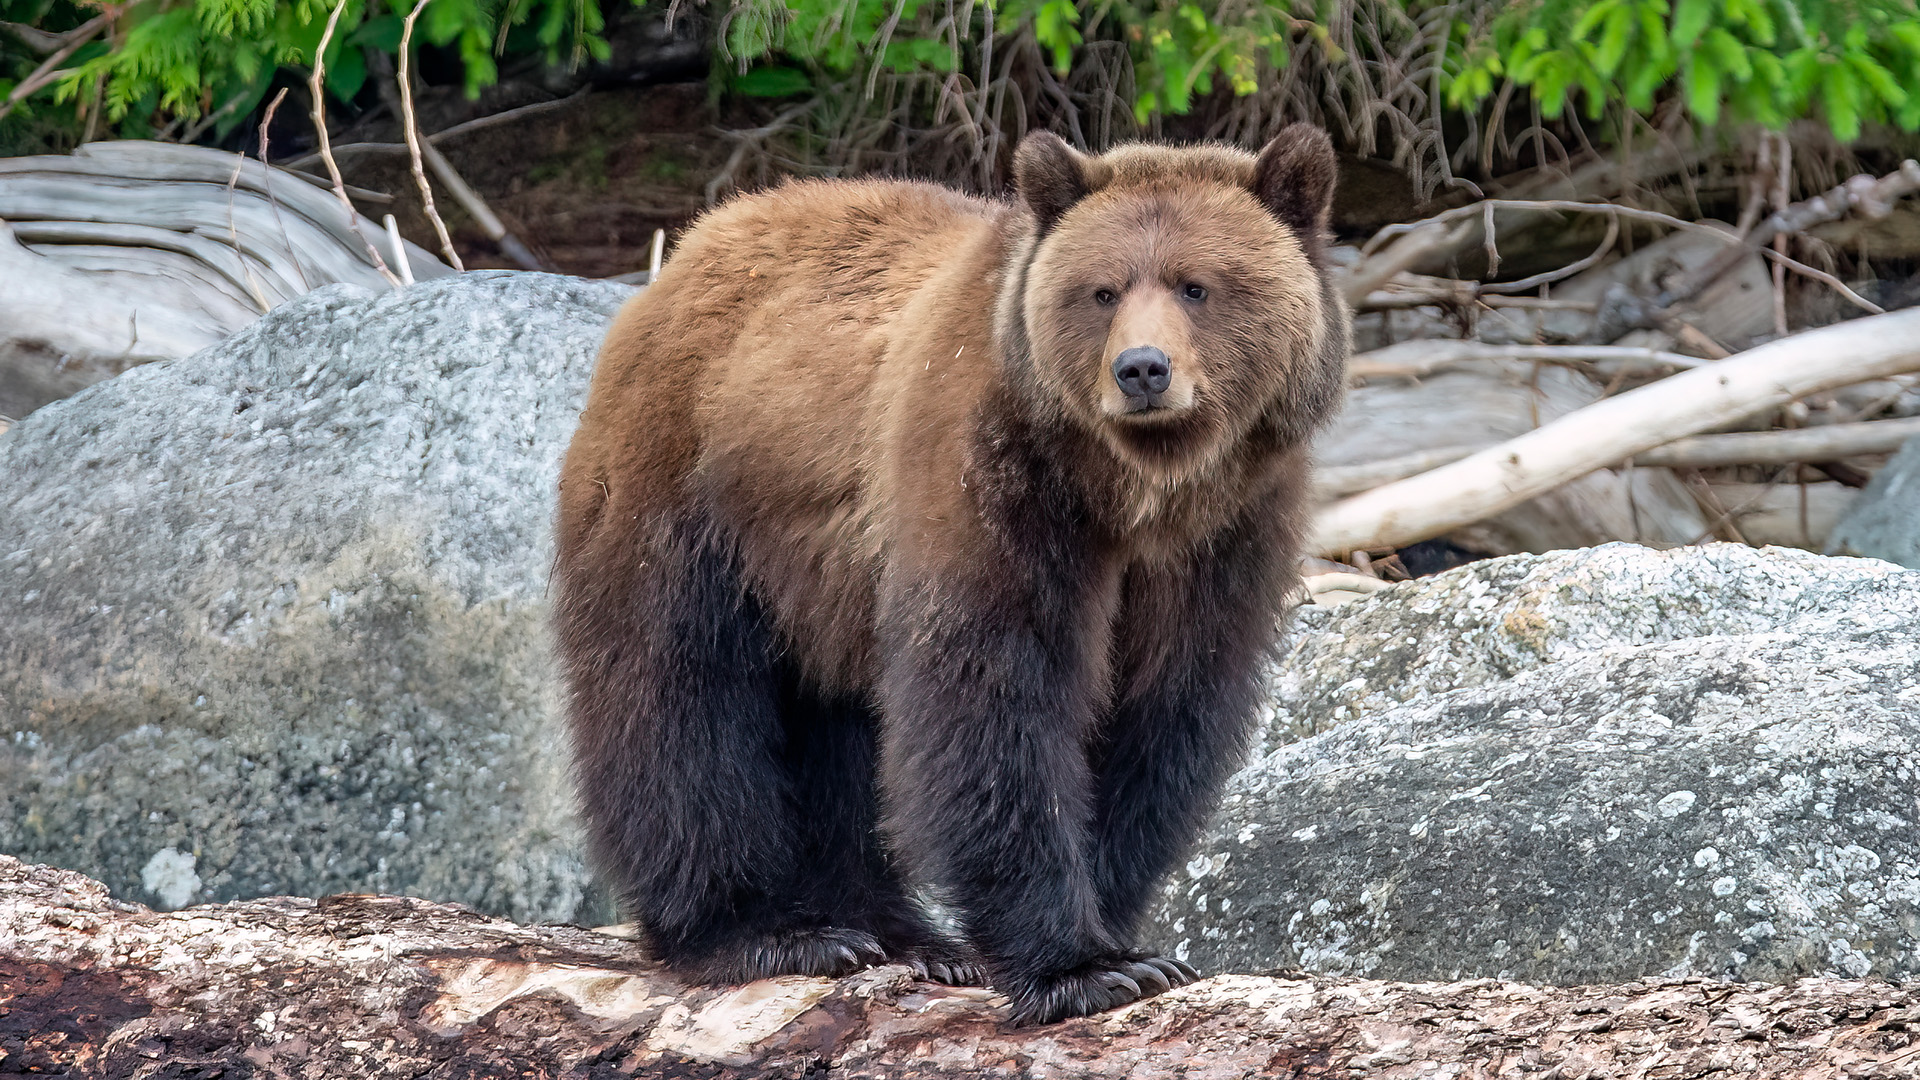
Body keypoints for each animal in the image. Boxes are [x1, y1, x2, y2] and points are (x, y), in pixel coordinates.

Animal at [552, 125, 1349, 1025]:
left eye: (1197, 285)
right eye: (1103, 290)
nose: (1142, 370)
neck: (1130, 493)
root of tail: (686, 251)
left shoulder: (1227, 535)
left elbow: (1165, 715)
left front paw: (1119, 933)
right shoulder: (990, 478)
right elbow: (994, 699)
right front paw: (1078, 967)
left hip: (821, 582)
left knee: (836, 728)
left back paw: (897, 932)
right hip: (691, 493)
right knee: (677, 695)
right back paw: (760, 931)